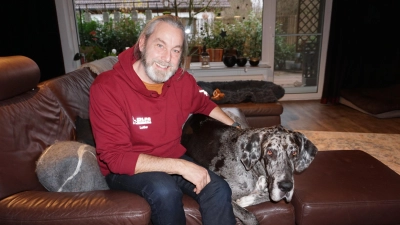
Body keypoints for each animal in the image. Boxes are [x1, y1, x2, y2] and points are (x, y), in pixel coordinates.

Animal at [182, 114, 318, 225]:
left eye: (294, 153)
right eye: (269, 152)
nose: (286, 187)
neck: (257, 171)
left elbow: (266, 196)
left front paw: (245, 200)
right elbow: (249, 216)